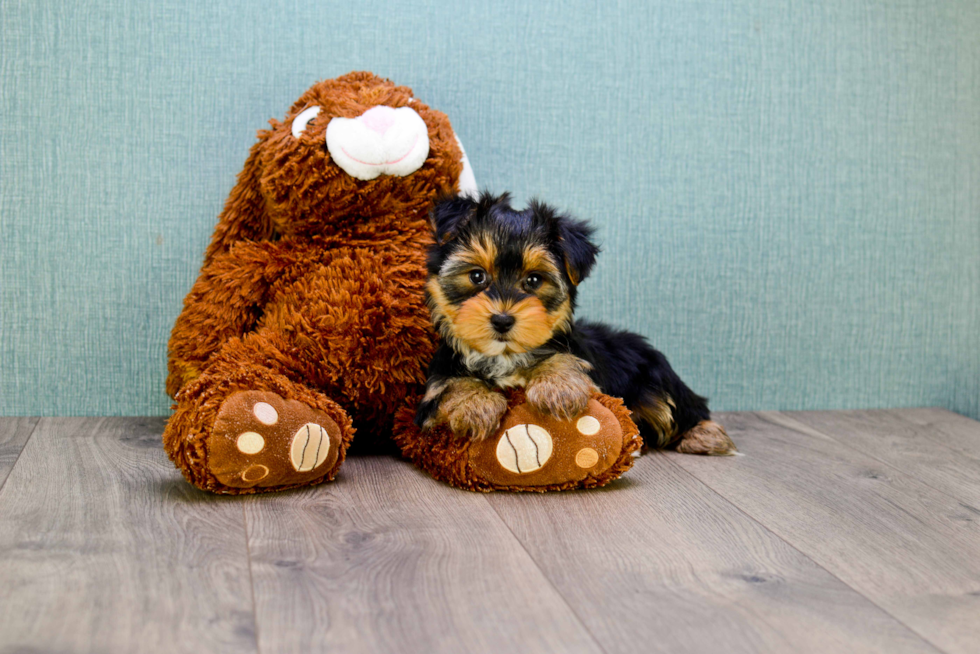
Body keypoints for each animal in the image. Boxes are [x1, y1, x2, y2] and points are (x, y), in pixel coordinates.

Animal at [414, 190, 736, 456]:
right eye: (477, 276)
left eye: (534, 280)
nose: (502, 320)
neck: (505, 357)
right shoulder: (432, 393)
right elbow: (450, 387)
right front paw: (475, 404)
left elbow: (565, 358)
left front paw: (557, 387)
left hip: (655, 376)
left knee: (681, 405)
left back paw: (704, 435)